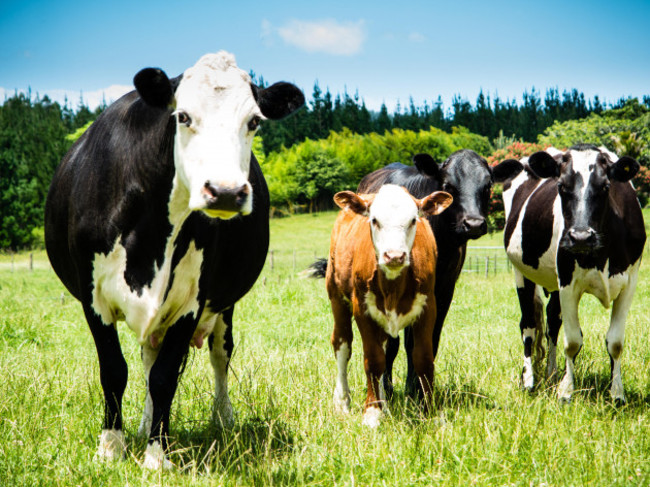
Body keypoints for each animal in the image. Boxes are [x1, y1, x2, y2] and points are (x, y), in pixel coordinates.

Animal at [45, 50, 304, 468]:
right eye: (182, 116)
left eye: (254, 121)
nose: (226, 192)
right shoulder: (92, 297)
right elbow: (114, 371)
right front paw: (111, 446)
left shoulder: (192, 301)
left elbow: (165, 377)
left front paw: (157, 455)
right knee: (148, 356)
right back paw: (142, 425)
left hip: (223, 306)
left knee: (219, 355)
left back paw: (221, 418)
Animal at [324, 185, 450, 426]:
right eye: (374, 220)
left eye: (413, 220)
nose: (394, 256)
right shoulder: (362, 310)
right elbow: (373, 360)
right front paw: (372, 412)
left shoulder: (428, 308)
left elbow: (423, 359)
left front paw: (428, 410)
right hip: (336, 296)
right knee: (343, 345)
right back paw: (342, 401)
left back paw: (384, 404)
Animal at [354, 150, 492, 400]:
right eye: (448, 185)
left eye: (487, 185)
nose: (474, 223)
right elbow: (394, 342)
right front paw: (391, 389)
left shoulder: (444, 289)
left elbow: (427, 341)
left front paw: (419, 389)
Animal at [492, 145, 644, 404]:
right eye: (561, 186)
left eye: (606, 187)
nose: (580, 237)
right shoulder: (567, 282)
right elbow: (573, 341)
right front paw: (566, 393)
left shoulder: (630, 284)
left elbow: (615, 342)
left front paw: (617, 394)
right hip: (521, 273)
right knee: (528, 325)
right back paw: (529, 380)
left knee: (552, 322)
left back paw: (553, 373)